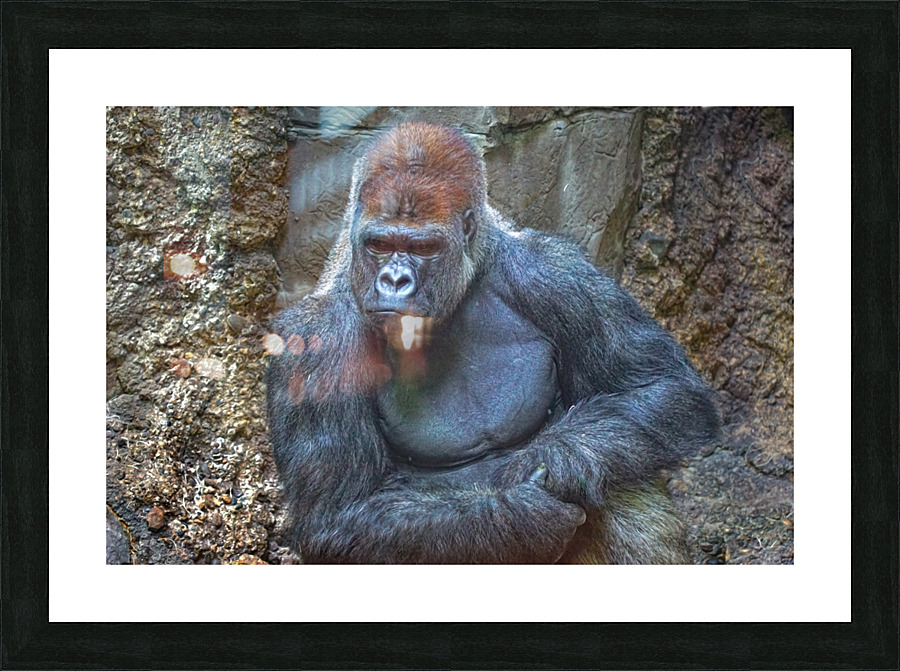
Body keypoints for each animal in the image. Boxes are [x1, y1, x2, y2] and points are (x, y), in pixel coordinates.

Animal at [266, 121, 721, 563]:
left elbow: (661, 386)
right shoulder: (316, 343)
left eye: (424, 247)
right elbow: (339, 514)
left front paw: (560, 459)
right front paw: (520, 516)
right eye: (379, 244)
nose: (394, 281)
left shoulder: (556, 273)